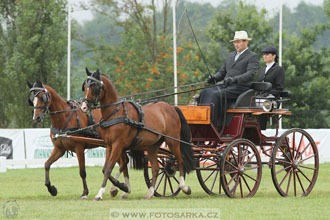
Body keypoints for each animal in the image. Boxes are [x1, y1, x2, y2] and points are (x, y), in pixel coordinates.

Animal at [80, 68, 196, 199]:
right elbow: (106, 169)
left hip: (173, 141)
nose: (84, 107)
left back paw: (184, 187)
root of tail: (171, 108)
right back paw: (150, 192)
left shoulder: (117, 145)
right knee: (155, 168)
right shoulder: (109, 145)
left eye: (94, 87)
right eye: (85, 87)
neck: (115, 113)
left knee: (180, 161)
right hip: (153, 146)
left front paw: (101, 193)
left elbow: (109, 169)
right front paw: (121, 187)